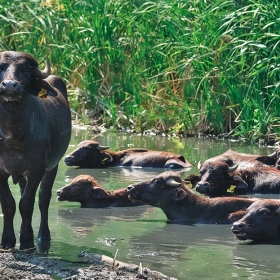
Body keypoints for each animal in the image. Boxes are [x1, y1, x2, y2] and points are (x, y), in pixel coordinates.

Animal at [0, 50, 71, 249]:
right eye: (1, 66)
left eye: (25, 69)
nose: (10, 85)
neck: (13, 136)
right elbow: (8, 204)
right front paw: (7, 241)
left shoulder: (37, 169)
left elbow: (26, 204)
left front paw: (26, 241)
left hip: (53, 166)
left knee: (43, 198)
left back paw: (42, 236)